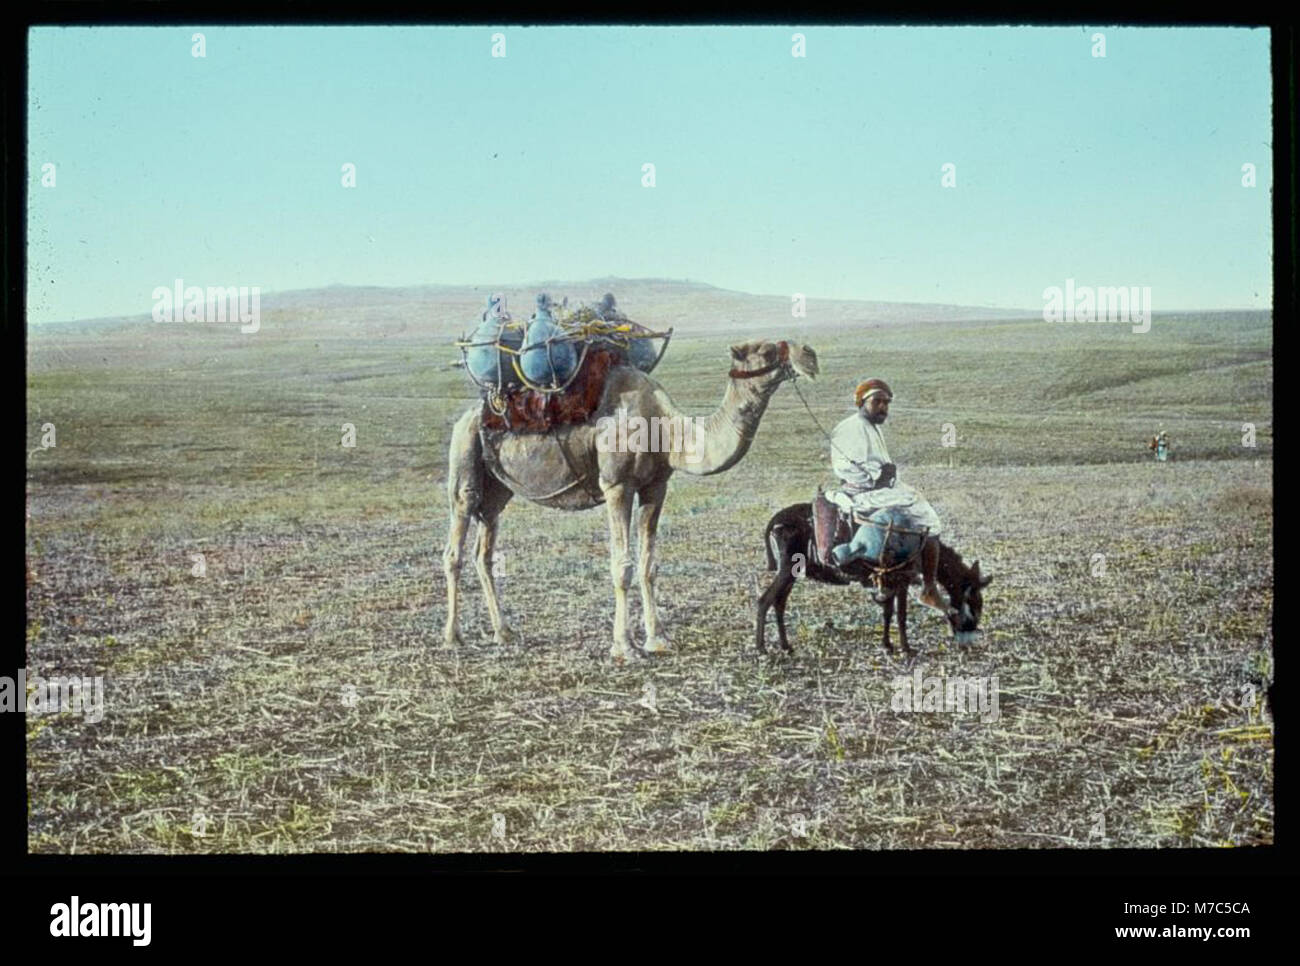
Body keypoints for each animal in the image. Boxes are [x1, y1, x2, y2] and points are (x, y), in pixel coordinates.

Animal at [441, 335, 816, 660]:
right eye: (765, 350)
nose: (810, 355)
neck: (666, 429)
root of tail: (470, 414)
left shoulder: (655, 486)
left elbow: (649, 564)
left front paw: (658, 639)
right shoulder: (617, 484)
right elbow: (622, 566)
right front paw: (624, 647)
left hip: (497, 490)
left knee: (484, 551)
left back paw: (504, 632)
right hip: (464, 456)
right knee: (455, 547)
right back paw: (453, 636)